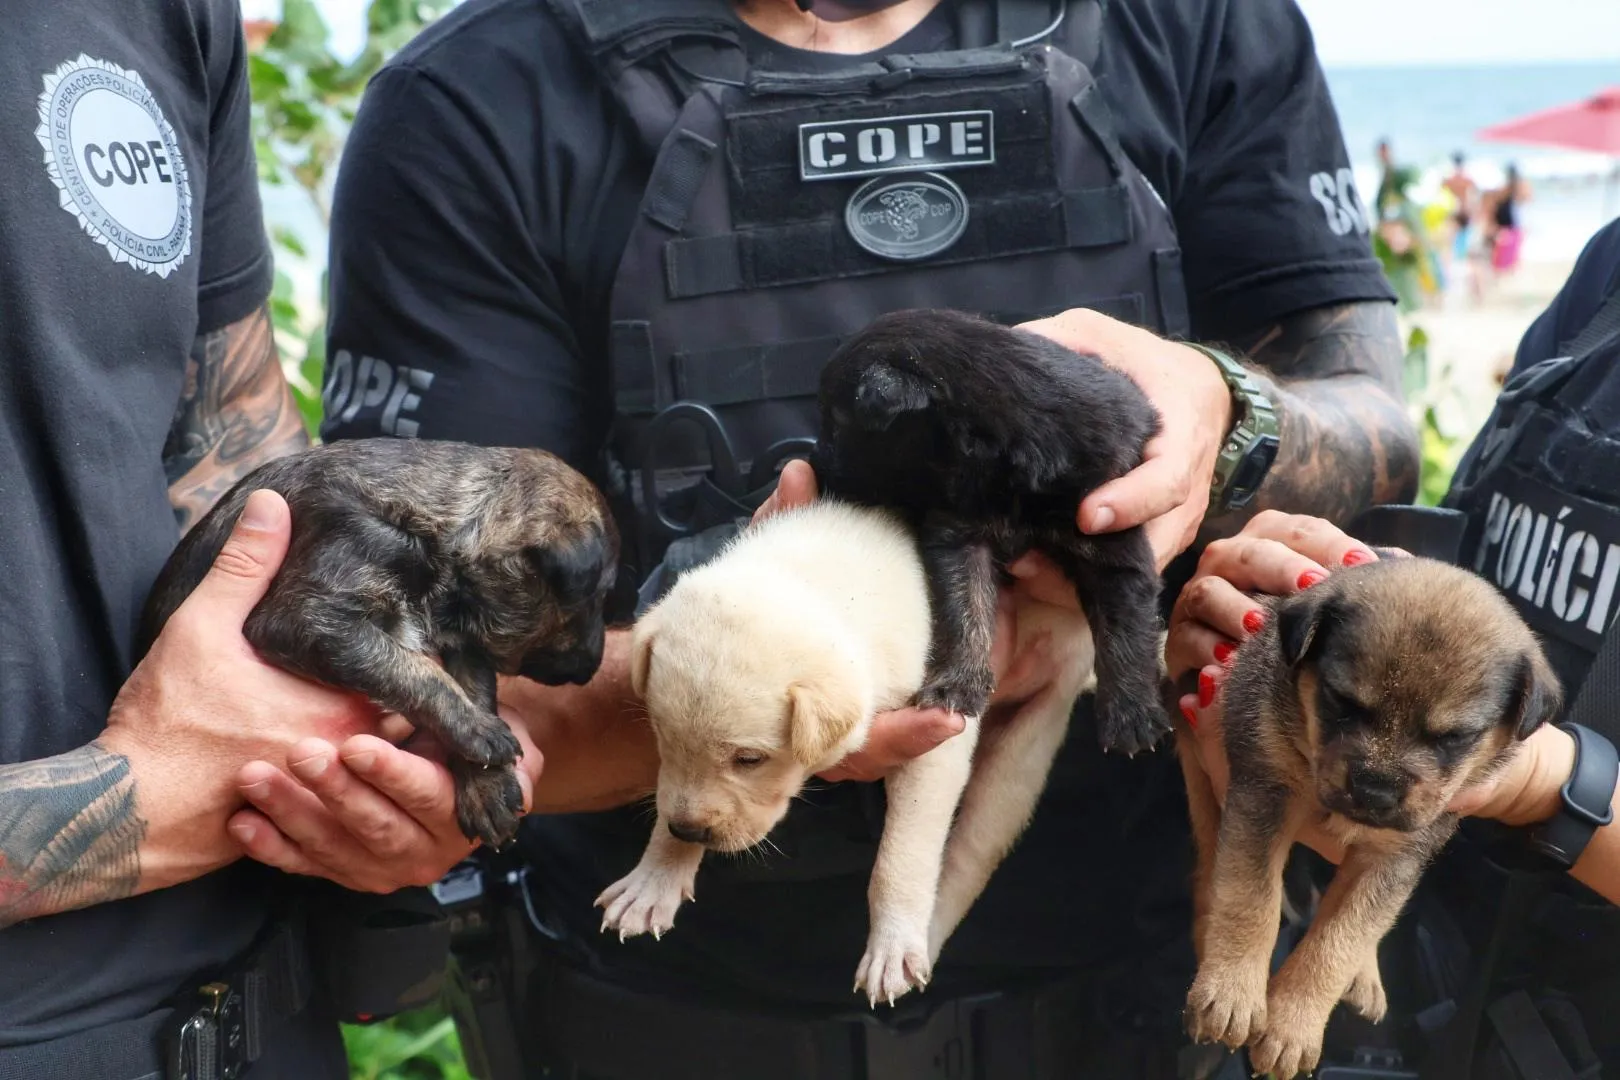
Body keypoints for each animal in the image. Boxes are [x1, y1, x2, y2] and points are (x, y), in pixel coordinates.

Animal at [137, 433, 618, 848]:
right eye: (597, 597)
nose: (591, 666)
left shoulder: (466, 644)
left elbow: (474, 689)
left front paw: (486, 785)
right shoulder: (311, 614)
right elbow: (416, 672)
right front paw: (480, 731)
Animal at [599, 498, 1101, 1003]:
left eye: (749, 760)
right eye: (661, 735)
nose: (688, 831)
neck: (811, 577)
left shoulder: (936, 736)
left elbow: (903, 855)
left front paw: (892, 948)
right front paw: (655, 879)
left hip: (1019, 759)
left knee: (970, 853)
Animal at [816, 307, 1172, 757]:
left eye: (837, 424)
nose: (812, 468)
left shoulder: (1109, 534)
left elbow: (1124, 628)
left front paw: (1131, 714)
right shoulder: (961, 537)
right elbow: (964, 610)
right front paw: (956, 683)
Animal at [1185, 557, 1561, 1080]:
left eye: (1453, 738)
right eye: (1342, 703)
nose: (1374, 790)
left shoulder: (1394, 857)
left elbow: (1340, 939)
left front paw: (1292, 1028)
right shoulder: (1263, 793)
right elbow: (1250, 898)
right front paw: (1233, 994)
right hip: (1200, 775)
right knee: (1208, 868)